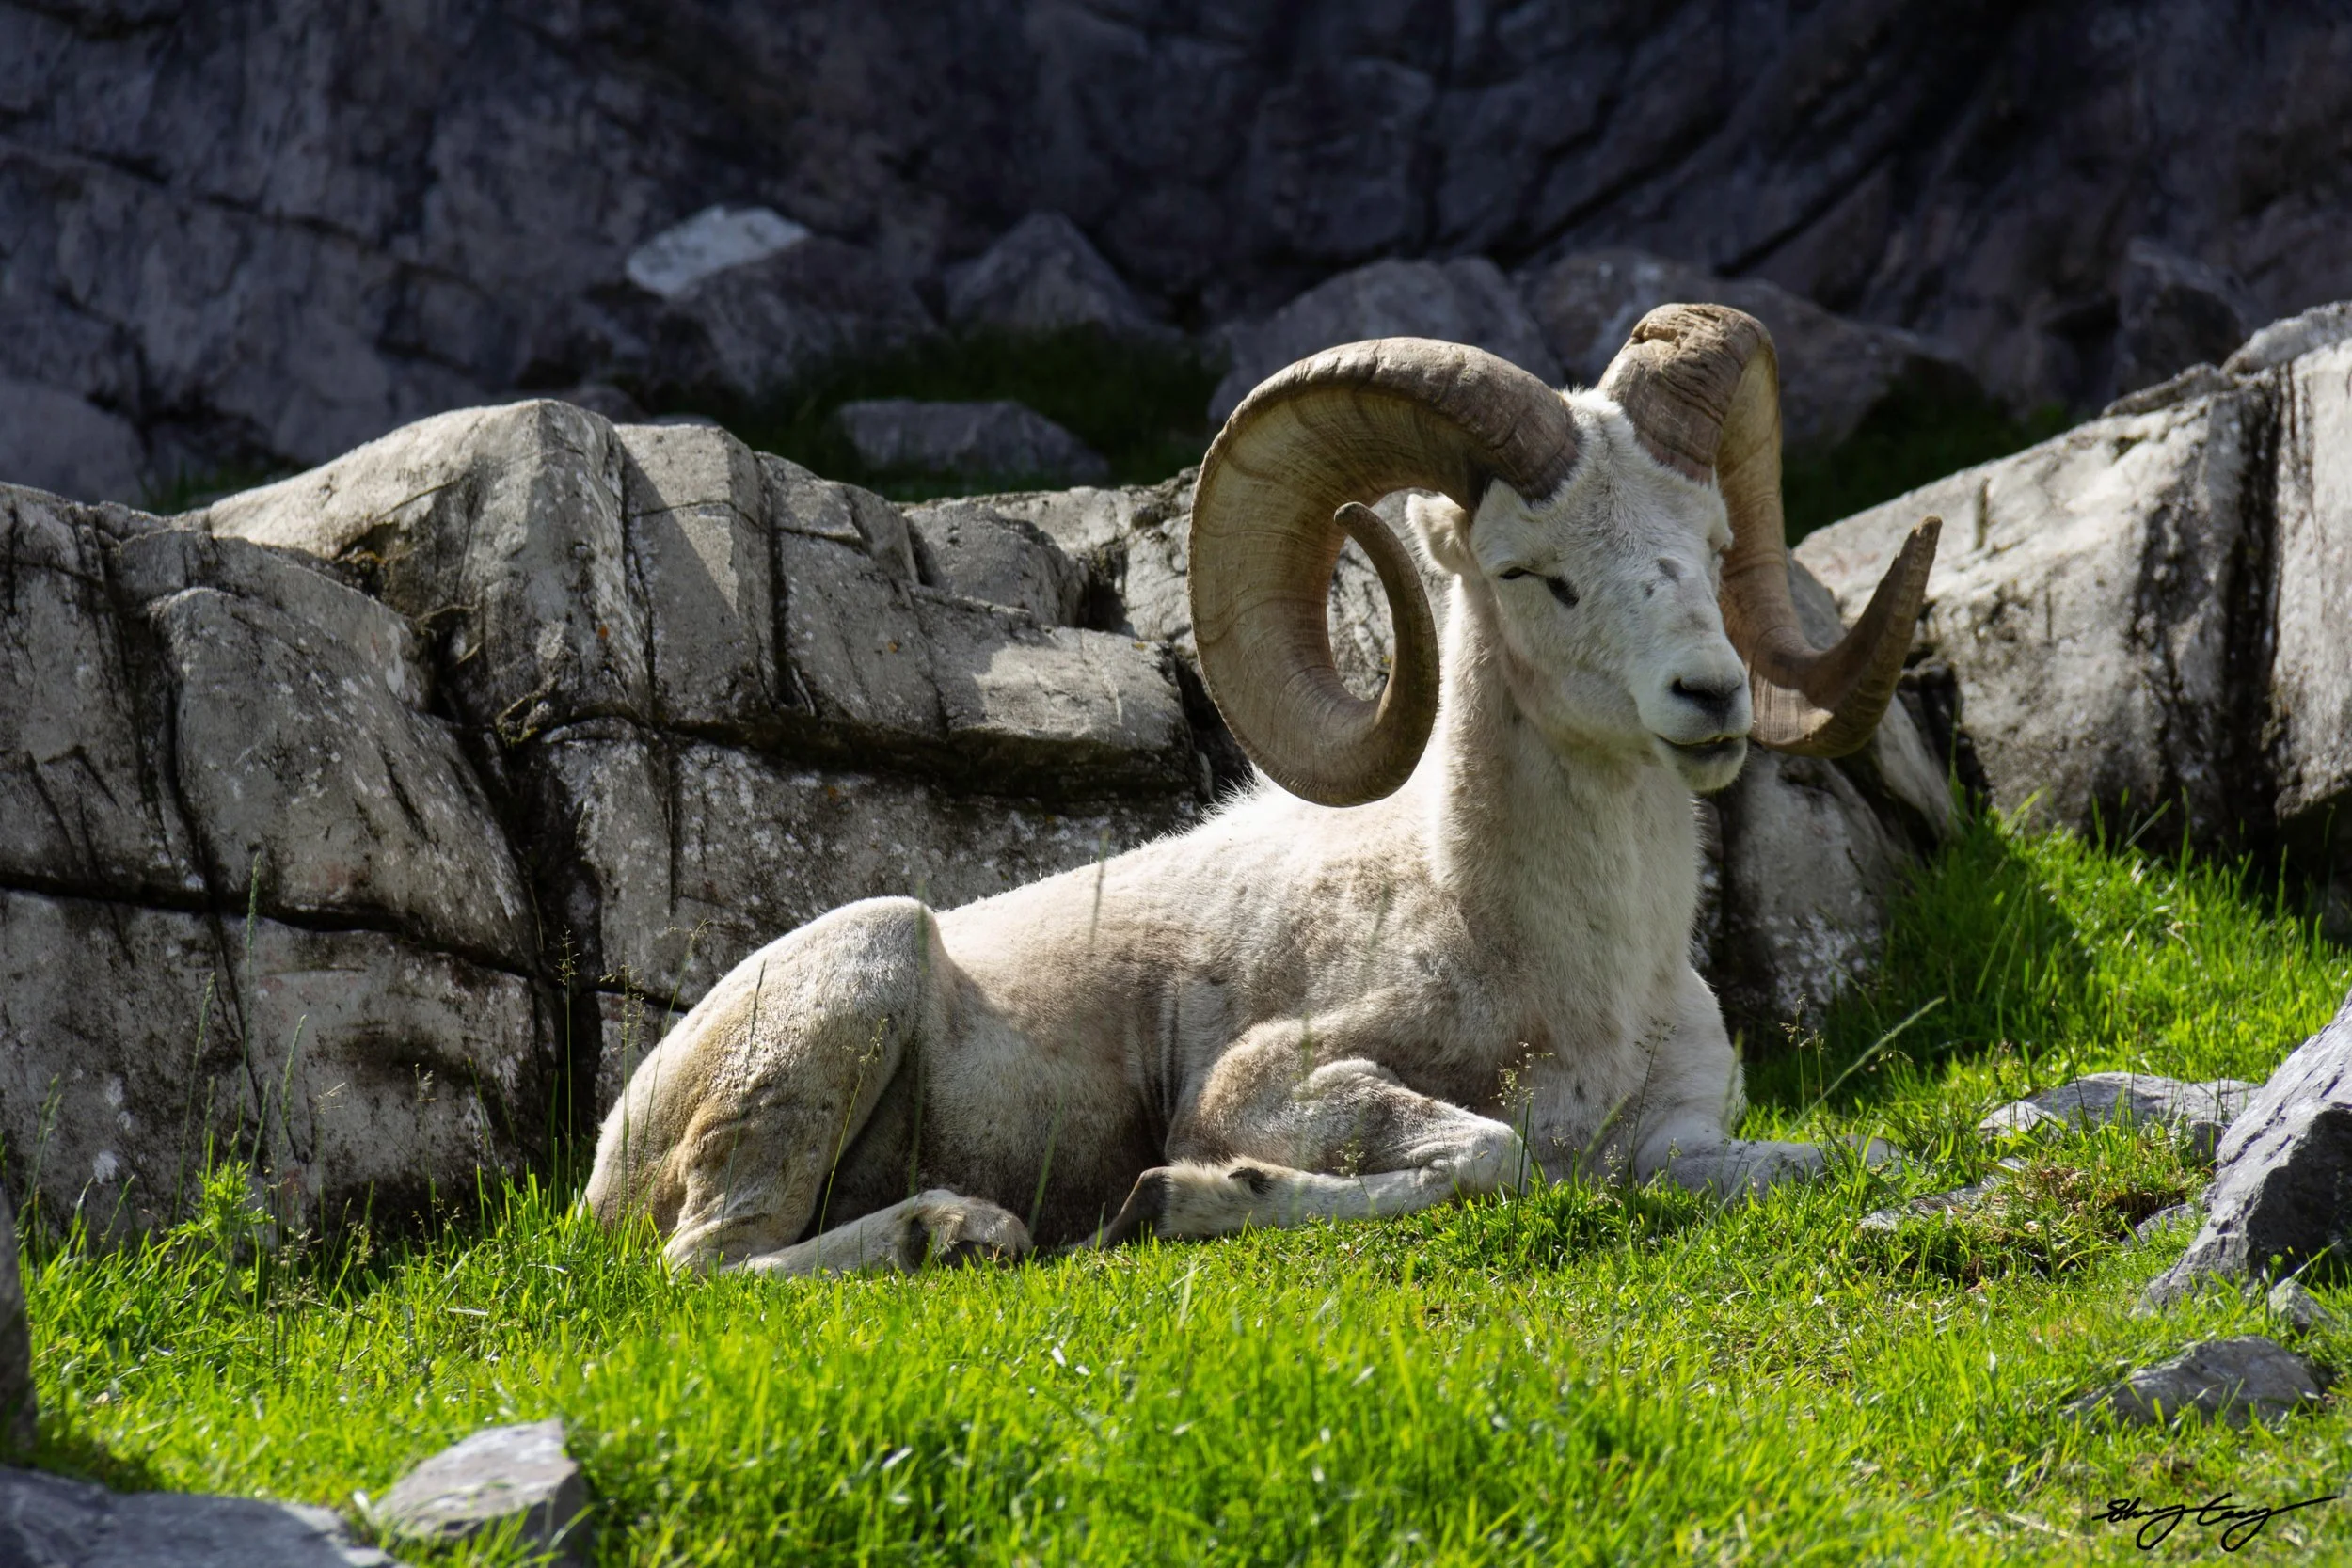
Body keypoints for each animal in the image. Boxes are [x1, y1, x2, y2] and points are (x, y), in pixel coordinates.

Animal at [584, 303, 1941, 1275]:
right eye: (1527, 569)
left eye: (1711, 547)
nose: (1709, 696)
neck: (1572, 974)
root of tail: (610, 1149)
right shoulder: (1265, 1084)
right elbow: (1491, 1155)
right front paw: (1184, 1197)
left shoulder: (1691, 1140)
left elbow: (1847, 1156)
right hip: (849, 988)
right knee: (705, 1263)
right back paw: (953, 1232)